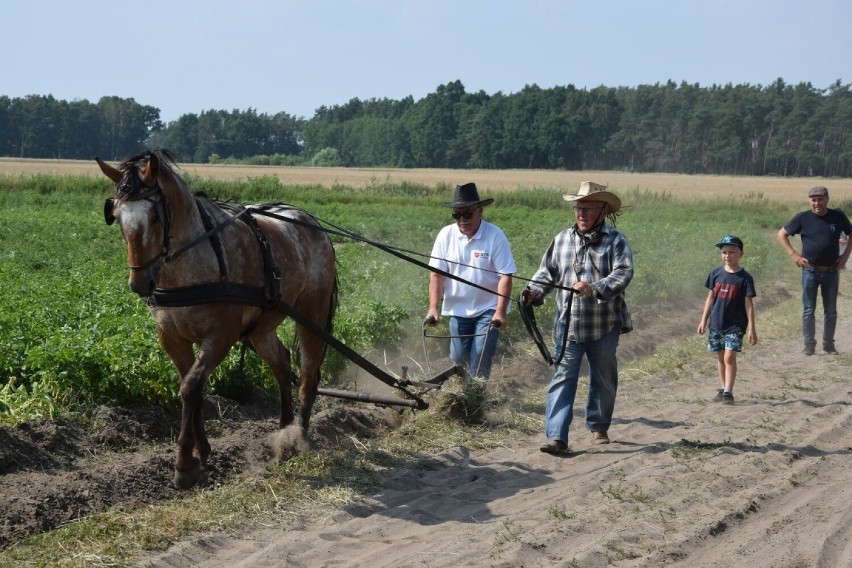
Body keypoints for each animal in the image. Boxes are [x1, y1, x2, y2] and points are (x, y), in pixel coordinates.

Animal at [98, 150, 338, 488]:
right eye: (117, 216)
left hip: (311, 312)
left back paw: (298, 437)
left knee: (308, 374)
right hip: (261, 327)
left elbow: (191, 387)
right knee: (281, 365)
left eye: (156, 216)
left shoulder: (220, 336)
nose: (139, 284)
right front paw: (202, 452)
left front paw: (184, 465)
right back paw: (283, 431)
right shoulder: (172, 338)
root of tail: (310, 222)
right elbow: (190, 386)